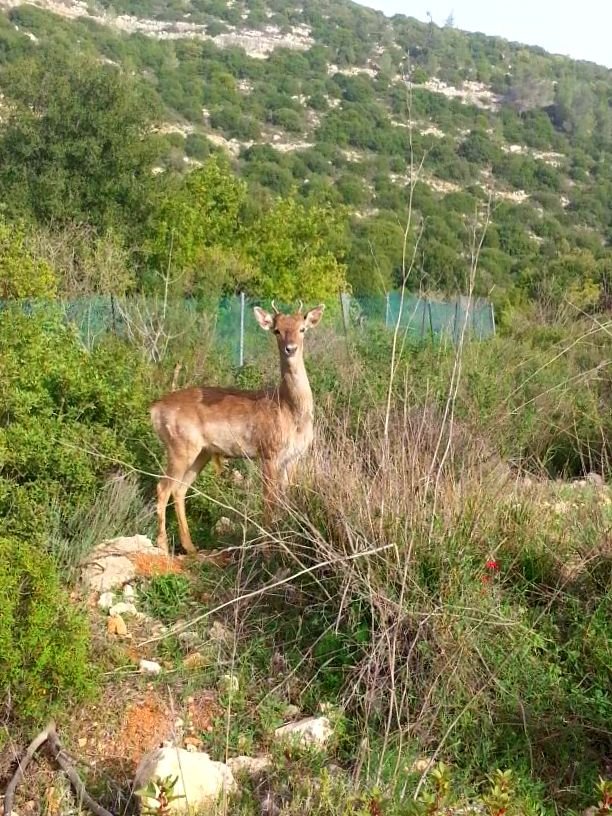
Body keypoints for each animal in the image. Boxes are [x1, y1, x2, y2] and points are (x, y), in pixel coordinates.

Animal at [150, 302, 325, 554]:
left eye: (302, 329)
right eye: (277, 330)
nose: (290, 349)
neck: (289, 409)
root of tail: (154, 409)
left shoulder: (293, 457)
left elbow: (286, 499)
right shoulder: (268, 452)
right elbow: (269, 501)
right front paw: (267, 547)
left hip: (201, 453)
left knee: (179, 489)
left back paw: (190, 547)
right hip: (178, 447)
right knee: (162, 487)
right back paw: (163, 546)